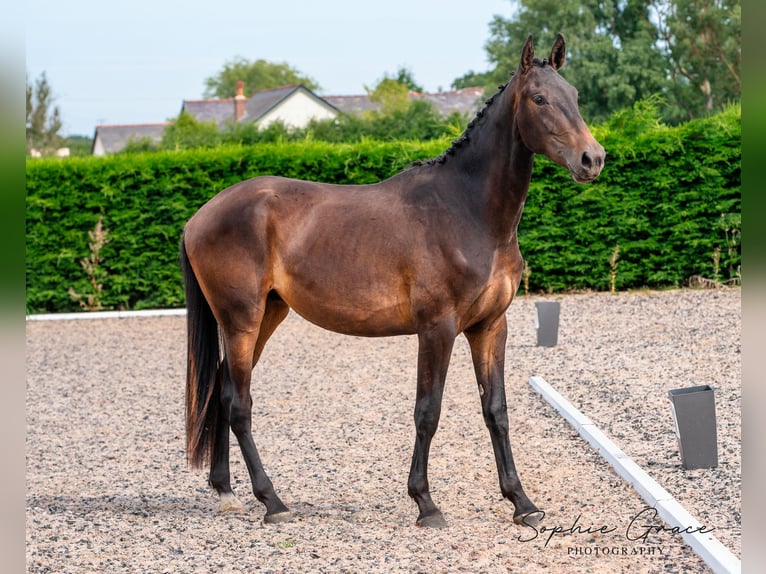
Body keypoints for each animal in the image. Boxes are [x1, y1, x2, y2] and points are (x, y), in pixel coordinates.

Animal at [180, 35, 608, 532]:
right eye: (539, 98)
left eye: (573, 95)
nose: (592, 159)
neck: (467, 210)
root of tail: (199, 217)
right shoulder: (437, 328)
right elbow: (428, 411)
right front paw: (425, 503)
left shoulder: (490, 328)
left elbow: (496, 412)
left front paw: (522, 502)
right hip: (241, 322)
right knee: (239, 404)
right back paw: (273, 501)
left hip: (267, 315)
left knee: (221, 391)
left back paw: (226, 492)